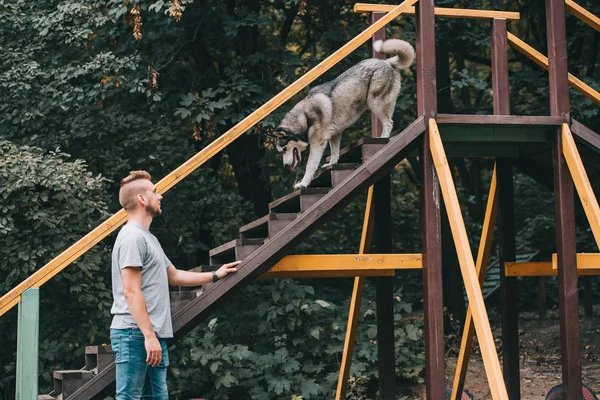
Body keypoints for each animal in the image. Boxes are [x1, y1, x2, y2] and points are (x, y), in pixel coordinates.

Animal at [274, 39, 414, 191]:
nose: (286, 166)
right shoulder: (334, 135)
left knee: (389, 123)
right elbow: (335, 152)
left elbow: (310, 166)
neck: (304, 118)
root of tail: (387, 62)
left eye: (284, 149)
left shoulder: (317, 144)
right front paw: (331, 164)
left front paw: (303, 183)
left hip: (375, 103)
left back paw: (383, 139)